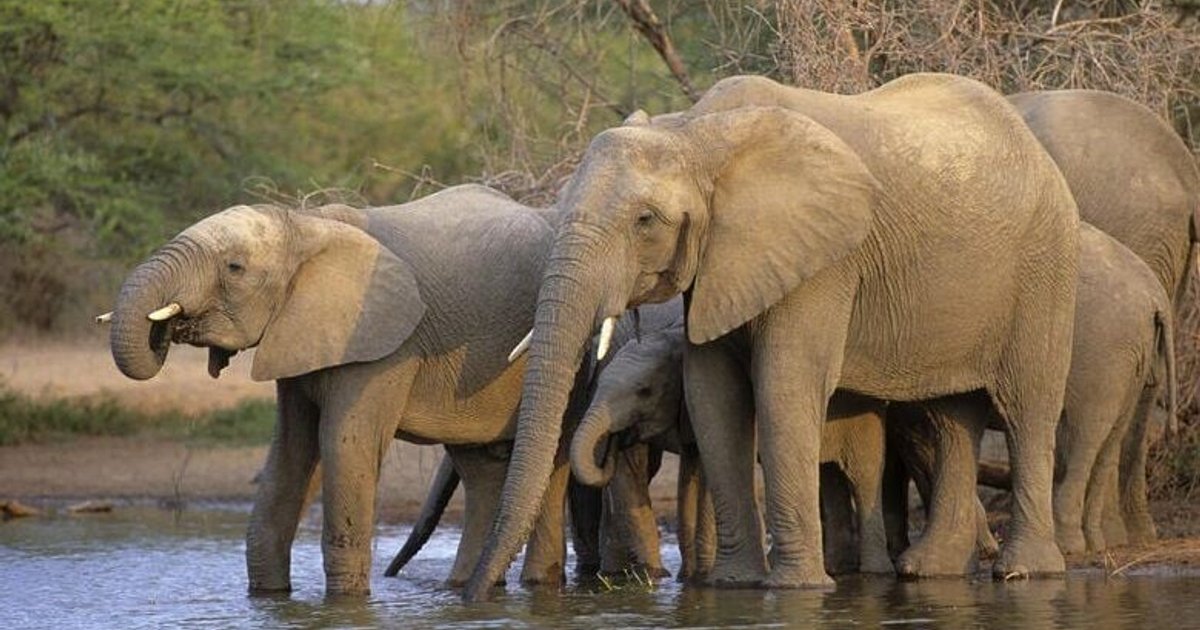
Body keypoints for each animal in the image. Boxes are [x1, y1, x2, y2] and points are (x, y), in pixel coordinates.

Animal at [103, 184, 585, 596]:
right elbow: (291, 453)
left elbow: (344, 446)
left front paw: (346, 602)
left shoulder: (384, 344)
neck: (306, 224)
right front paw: (269, 597)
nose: (165, 329)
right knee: (479, 468)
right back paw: (466, 588)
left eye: (235, 268)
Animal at [464, 73, 1080, 600]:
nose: (474, 596)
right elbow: (712, 393)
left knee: (1027, 408)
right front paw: (735, 586)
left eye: (645, 221)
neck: (695, 132)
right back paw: (932, 572)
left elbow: (785, 384)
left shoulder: (825, 259)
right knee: (953, 416)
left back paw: (1027, 574)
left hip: (1044, 268)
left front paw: (798, 590)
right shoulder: (720, 263)